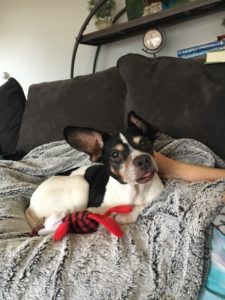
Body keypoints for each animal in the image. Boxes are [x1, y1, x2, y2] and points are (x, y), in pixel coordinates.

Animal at [25, 111, 163, 233]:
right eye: (115, 154)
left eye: (144, 142)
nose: (143, 160)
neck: (136, 190)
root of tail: (30, 207)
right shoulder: (92, 209)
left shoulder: (158, 193)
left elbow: (146, 204)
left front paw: (126, 215)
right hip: (79, 183)